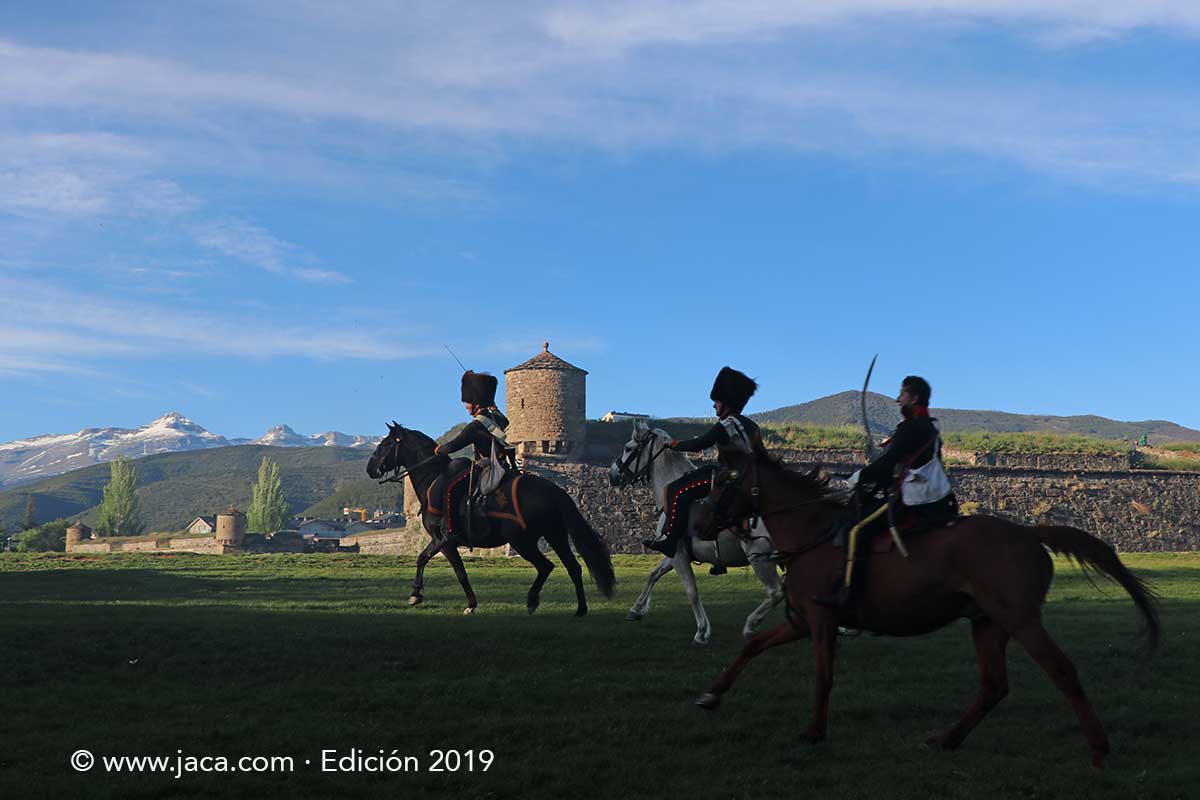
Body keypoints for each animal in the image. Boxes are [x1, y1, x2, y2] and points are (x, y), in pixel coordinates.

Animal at [609, 422, 787, 647]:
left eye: (629, 448)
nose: (612, 475)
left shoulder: (678, 555)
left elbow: (692, 591)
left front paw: (702, 632)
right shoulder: (674, 553)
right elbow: (653, 574)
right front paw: (636, 609)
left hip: (759, 557)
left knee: (776, 591)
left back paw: (751, 626)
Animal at [696, 450, 1161, 767]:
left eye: (727, 481)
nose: (700, 524)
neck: (814, 533)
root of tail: (1031, 533)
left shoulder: (822, 620)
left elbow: (823, 675)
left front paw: (813, 731)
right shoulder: (804, 622)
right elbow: (753, 646)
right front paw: (711, 694)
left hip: (1021, 620)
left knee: (1061, 671)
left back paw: (1099, 748)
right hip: (988, 623)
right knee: (994, 685)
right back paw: (947, 739)